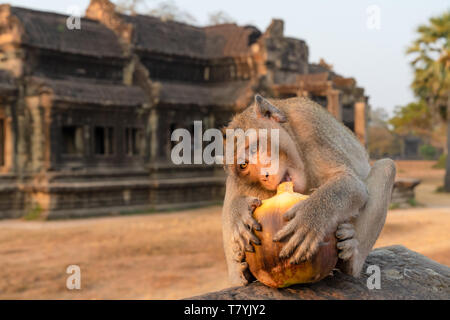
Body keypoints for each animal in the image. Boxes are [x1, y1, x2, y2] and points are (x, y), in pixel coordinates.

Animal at [221, 94, 394, 284]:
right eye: (243, 165)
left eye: (254, 149)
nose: (264, 176)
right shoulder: (240, 179)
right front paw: (238, 212)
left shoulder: (310, 126)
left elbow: (351, 183)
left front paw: (310, 219)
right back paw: (243, 274)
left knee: (386, 167)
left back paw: (351, 262)